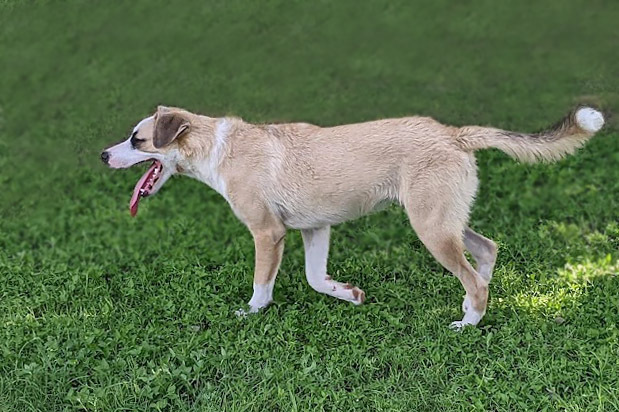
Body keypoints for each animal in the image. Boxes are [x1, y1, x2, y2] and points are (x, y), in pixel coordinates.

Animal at [101, 106, 604, 328]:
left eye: (137, 140)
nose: (104, 155)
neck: (217, 147)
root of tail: (453, 134)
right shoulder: (314, 228)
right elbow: (314, 279)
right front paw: (350, 294)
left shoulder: (268, 232)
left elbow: (262, 284)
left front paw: (250, 313)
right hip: (446, 221)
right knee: (487, 251)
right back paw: (469, 309)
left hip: (430, 228)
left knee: (475, 278)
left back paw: (468, 322)